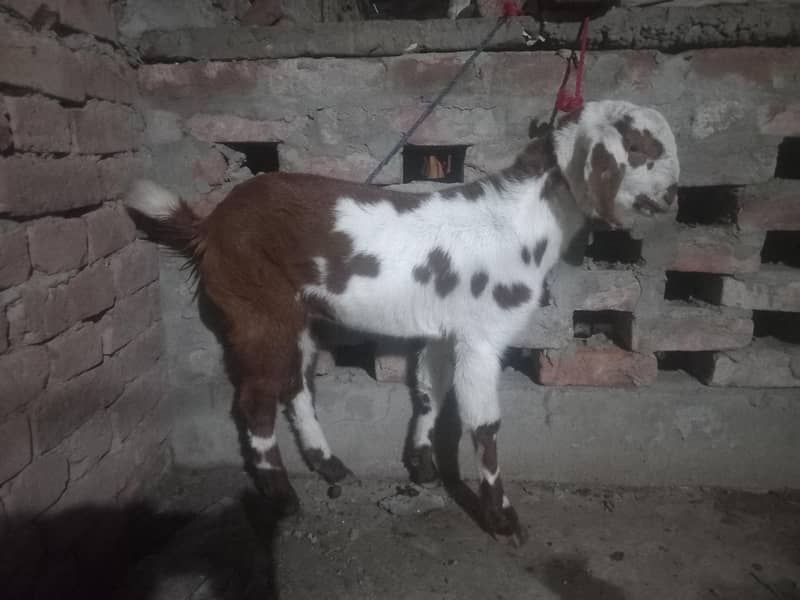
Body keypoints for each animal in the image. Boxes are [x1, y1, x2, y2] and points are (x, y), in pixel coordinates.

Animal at [126, 100, 679, 542]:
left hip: (295, 314)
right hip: (256, 307)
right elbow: (485, 425)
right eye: (638, 147)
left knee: (296, 385)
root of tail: (208, 226)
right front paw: (502, 519)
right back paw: (282, 497)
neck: (516, 224)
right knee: (256, 400)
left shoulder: (444, 329)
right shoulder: (482, 336)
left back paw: (328, 465)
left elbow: (430, 391)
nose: (675, 194)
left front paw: (422, 464)